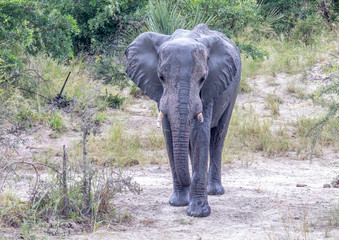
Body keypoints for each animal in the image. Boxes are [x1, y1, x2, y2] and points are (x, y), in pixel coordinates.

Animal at [125, 23, 242, 217]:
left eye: (202, 79)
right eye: (161, 77)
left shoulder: (209, 89)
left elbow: (200, 136)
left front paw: (198, 213)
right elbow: (170, 136)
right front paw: (177, 204)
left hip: (234, 88)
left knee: (218, 137)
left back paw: (214, 191)